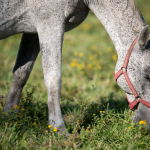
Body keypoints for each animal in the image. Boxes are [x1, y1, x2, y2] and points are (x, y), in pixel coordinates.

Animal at [1, 0, 150, 132]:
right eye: (147, 76)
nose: (146, 124)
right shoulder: (49, 24)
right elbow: (53, 79)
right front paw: (59, 129)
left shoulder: (32, 31)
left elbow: (21, 74)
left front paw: (9, 117)